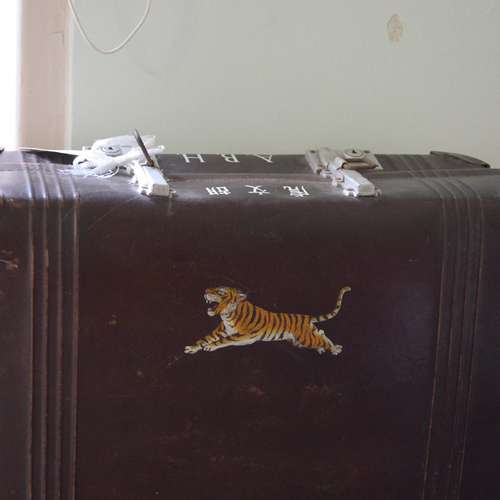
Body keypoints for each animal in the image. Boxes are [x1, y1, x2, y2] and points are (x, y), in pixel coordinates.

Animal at [184, 286, 351, 355]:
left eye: (220, 292)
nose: (205, 291)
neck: (227, 315)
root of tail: (306, 317)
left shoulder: (243, 335)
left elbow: (223, 341)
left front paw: (210, 347)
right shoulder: (221, 330)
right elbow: (204, 338)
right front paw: (192, 348)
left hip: (306, 338)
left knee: (322, 338)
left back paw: (334, 349)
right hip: (303, 338)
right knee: (322, 333)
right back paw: (327, 348)